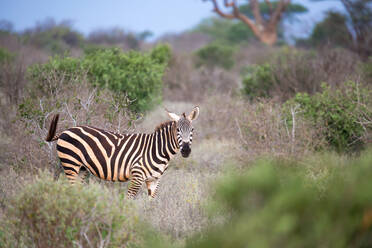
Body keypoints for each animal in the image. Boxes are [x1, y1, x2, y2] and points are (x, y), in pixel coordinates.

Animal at [45, 107, 199, 200]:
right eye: (178, 130)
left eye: (192, 130)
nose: (186, 150)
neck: (158, 149)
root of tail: (66, 130)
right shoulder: (137, 176)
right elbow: (129, 201)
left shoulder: (154, 180)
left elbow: (151, 203)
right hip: (70, 163)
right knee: (70, 189)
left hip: (82, 168)